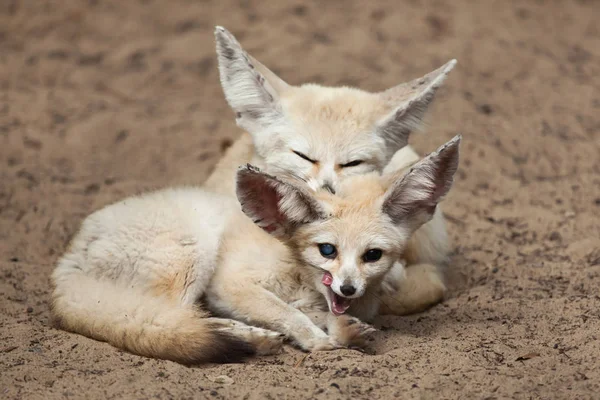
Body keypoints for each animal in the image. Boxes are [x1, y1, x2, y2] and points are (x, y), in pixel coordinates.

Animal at [51, 138, 462, 366]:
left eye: (372, 255)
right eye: (327, 249)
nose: (347, 288)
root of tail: (66, 261)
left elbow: (318, 313)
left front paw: (342, 328)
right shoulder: (230, 286)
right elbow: (290, 315)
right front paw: (320, 341)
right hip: (193, 256)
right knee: (176, 318)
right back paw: (250, 339)